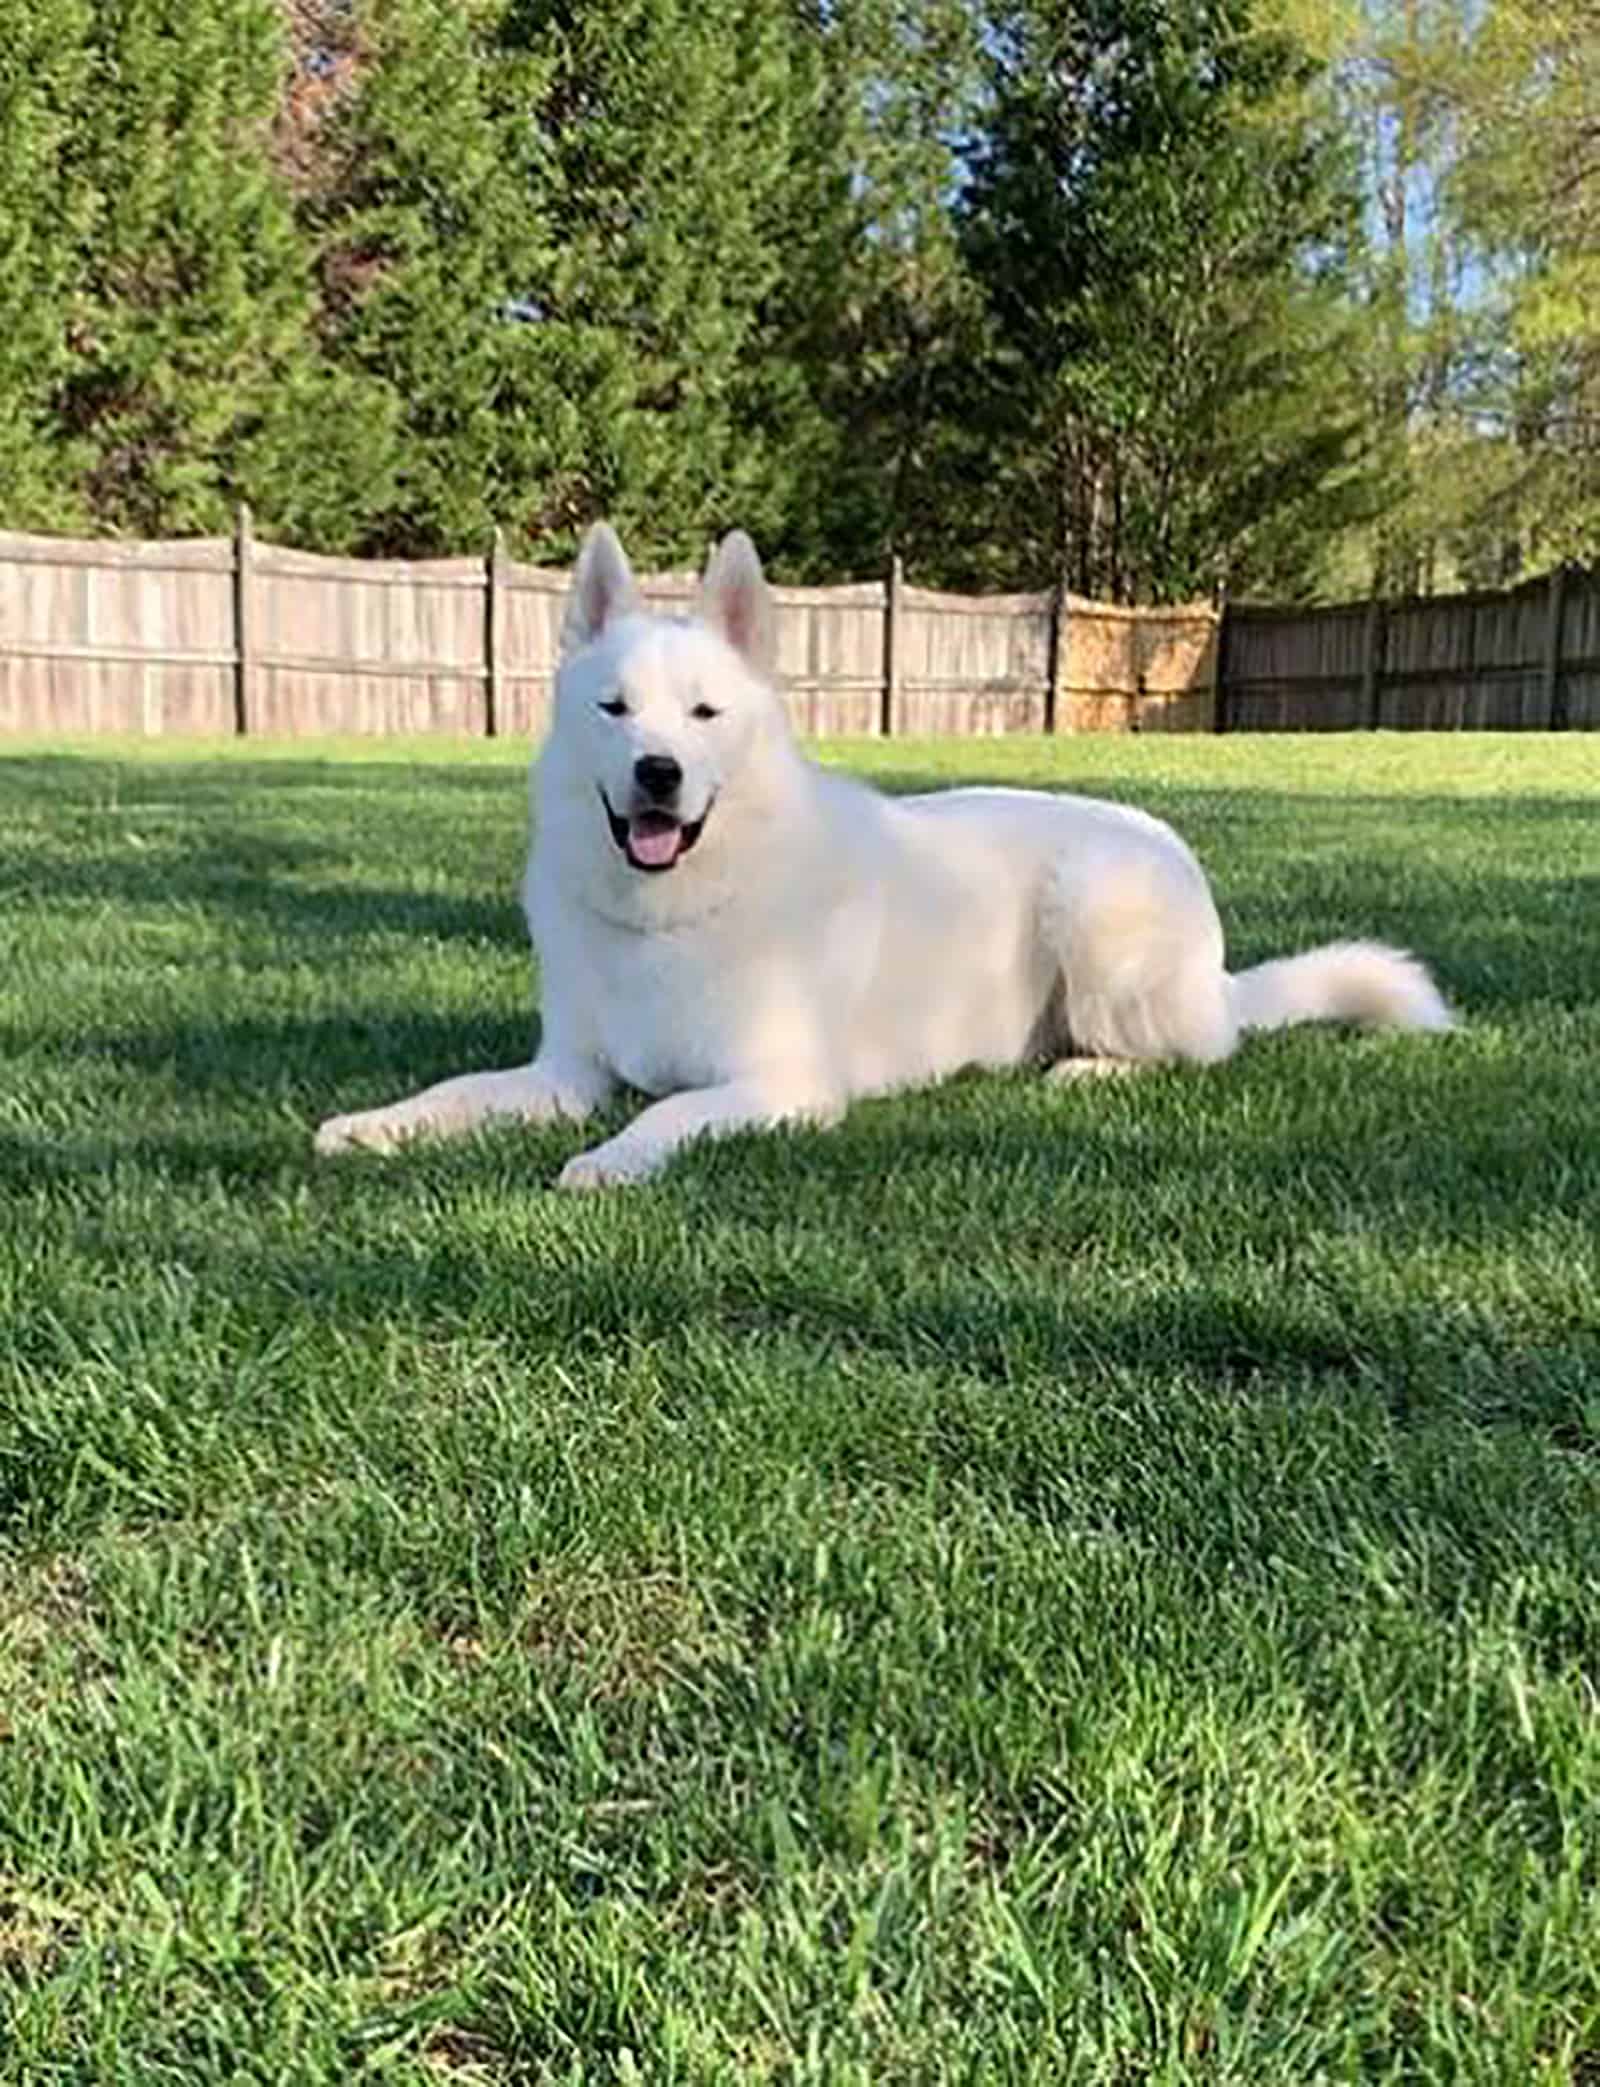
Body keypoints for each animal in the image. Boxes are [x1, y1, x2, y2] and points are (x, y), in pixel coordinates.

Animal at [312, 521, 1451, 1193]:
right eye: (614, 709)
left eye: (703, 714)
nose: (657, 774)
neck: (674, 912)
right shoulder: (566, 1073)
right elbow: (456, 1090)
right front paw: (373, 1126)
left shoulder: (782, 1085)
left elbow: (668, 1109)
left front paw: (605, 1162)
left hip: (1099, 921)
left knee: (1204, 1050)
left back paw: (1085, 1069)